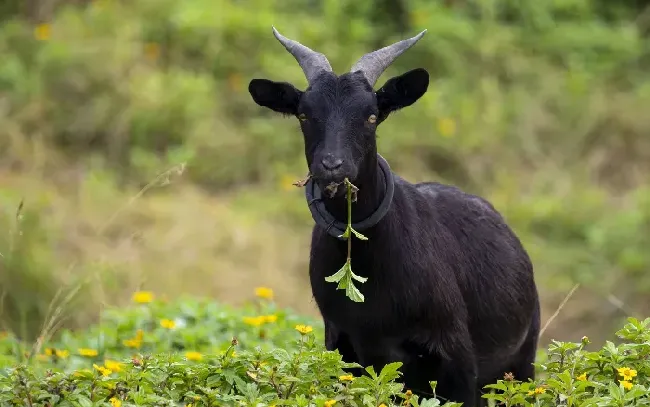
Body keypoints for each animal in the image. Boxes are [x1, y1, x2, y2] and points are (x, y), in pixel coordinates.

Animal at [246, 27, 540, 406]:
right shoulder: (344, 347)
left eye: (372, 115)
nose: (332, 166)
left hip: (521, 362)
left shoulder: (456, 357)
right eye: (304, 115)